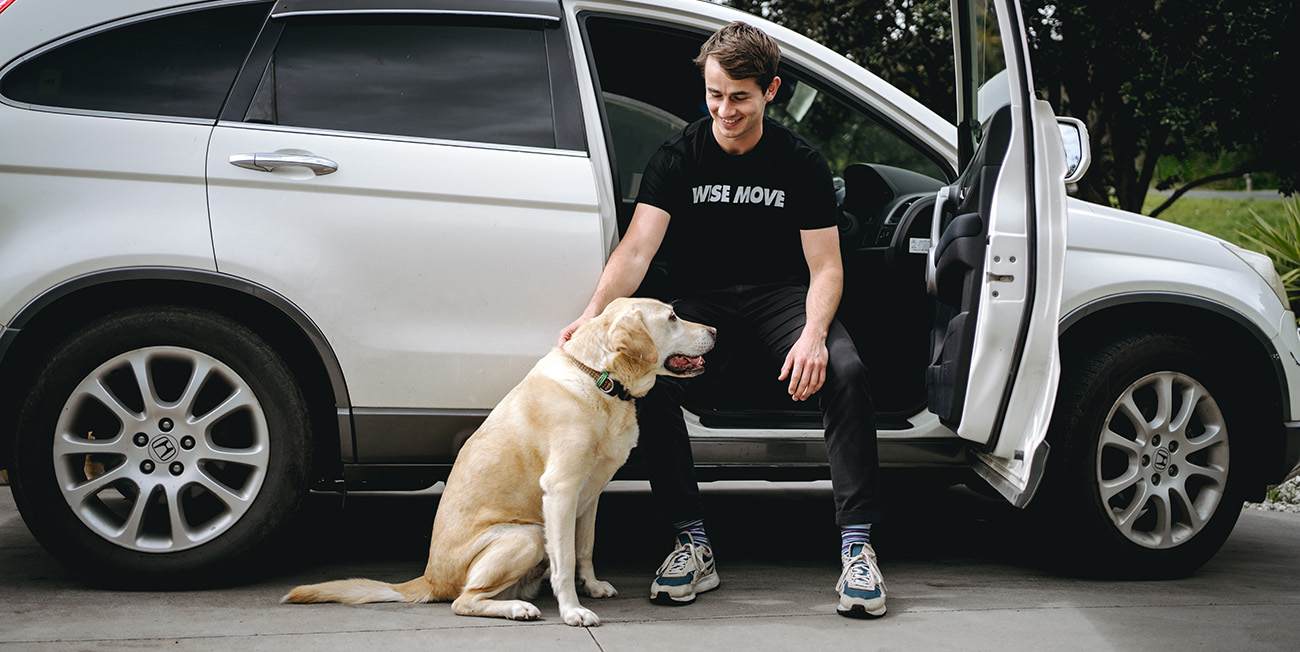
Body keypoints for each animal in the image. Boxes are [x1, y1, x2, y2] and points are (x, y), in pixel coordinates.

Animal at [280, 298, 717, 626]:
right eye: (673, 318)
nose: (715, 331)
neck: (601, 378)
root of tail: (429, 579)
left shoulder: (590, 495)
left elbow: (585, 549)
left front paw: (591, 587)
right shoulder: (560, 492)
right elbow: (565, 559)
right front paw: (573, 610)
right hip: (526, 535)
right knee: (464, 600)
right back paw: (518, 608)